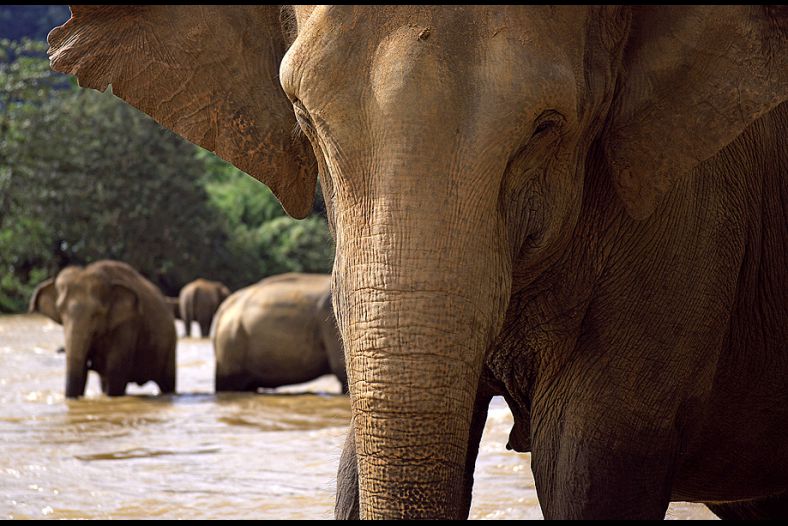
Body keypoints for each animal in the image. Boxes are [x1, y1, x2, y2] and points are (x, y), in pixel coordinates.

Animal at [29, 260, 176, 398]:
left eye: (96, 314)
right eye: (60, 311)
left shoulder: (127, 325)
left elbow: (115, 374)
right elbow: (83, 373)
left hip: (170, 345)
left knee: (167, 383)